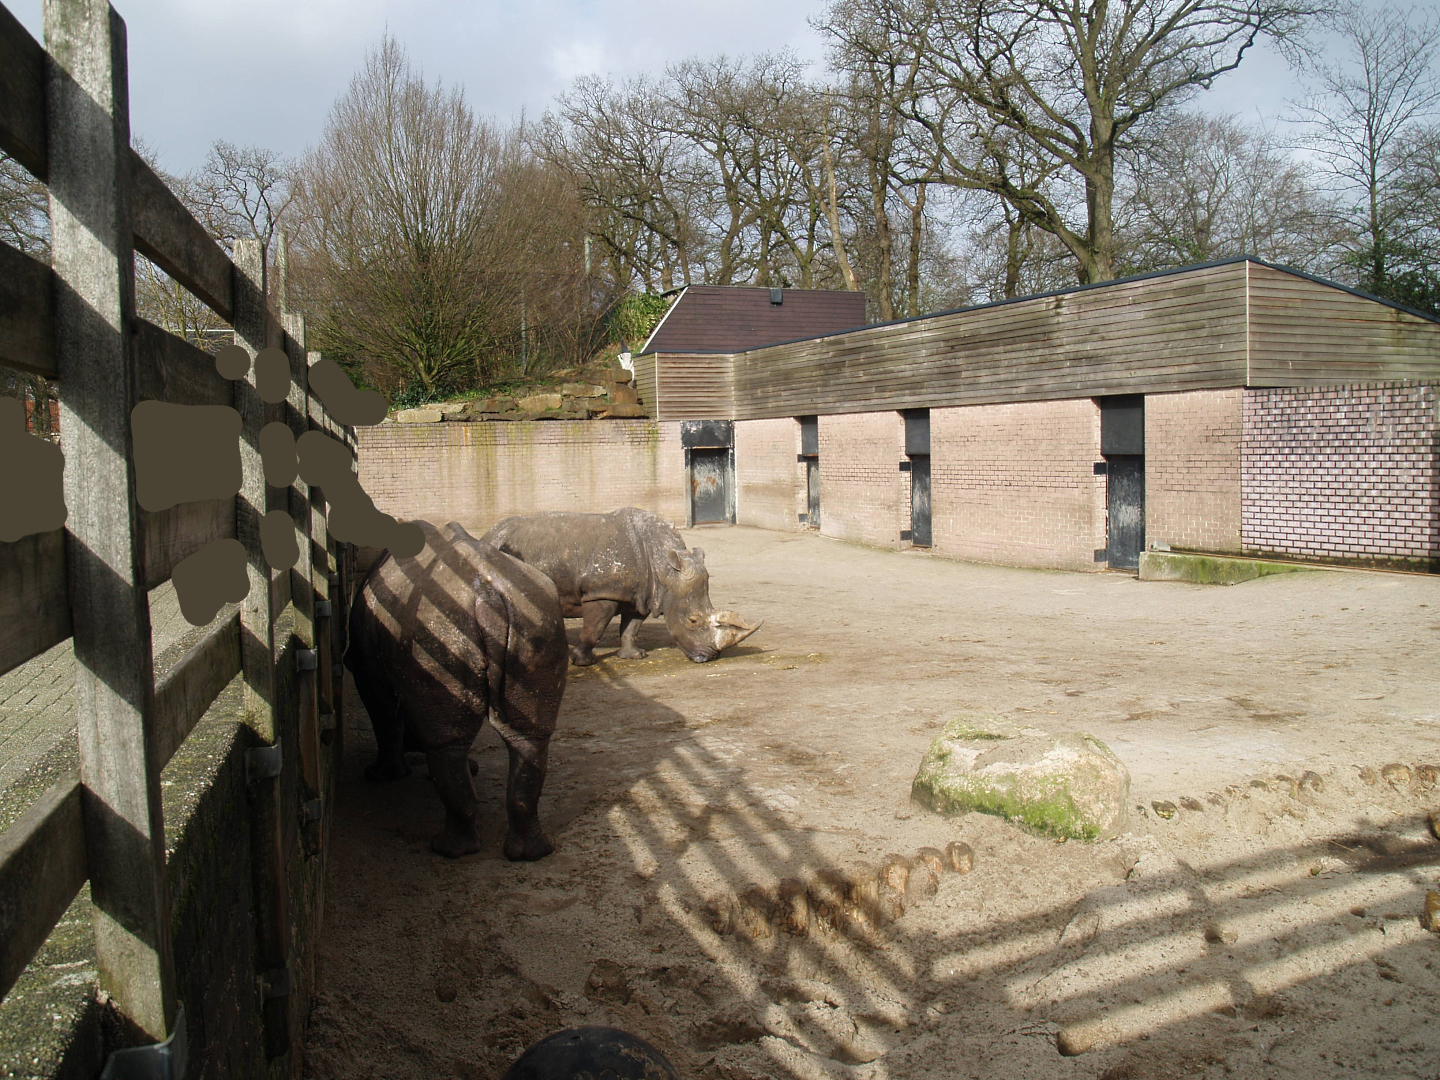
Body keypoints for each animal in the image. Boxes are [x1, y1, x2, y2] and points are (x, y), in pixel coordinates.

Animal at [345, 520, 567, 860]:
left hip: (438, 630)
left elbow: (384, 718)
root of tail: (487, 594)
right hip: (535, 615)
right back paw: (532, 852)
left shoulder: (367, 672)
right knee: (528, 737)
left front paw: (382, 775)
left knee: (445, 742)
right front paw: (471, 768)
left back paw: (447, 850)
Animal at [481, 507, 761, 666]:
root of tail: (487, 534)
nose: (710, 657)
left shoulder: (643, 595)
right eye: (692, 621)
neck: (663, 567)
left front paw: (634, 656)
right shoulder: (602, 593)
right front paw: (582, 663)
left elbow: (631, 628)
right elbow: (593, 629)